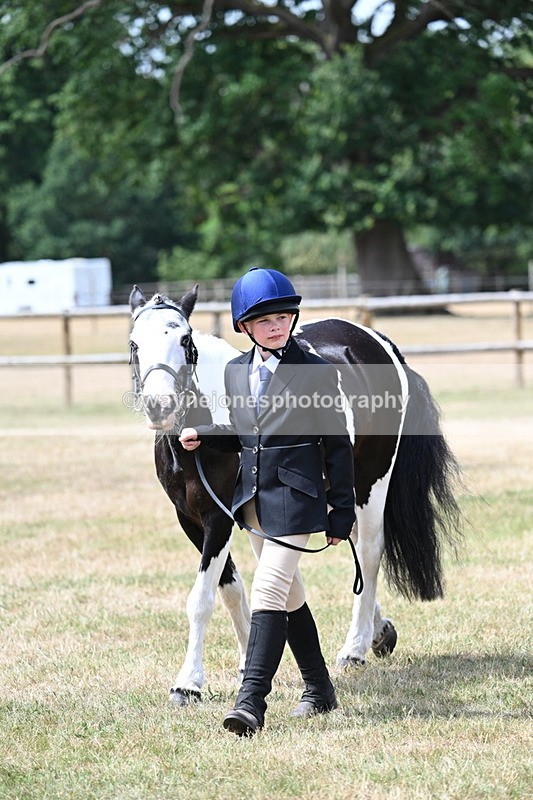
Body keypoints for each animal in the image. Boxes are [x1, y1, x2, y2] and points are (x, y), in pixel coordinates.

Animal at [128, 284, 461, 706]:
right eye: (134, 343)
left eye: (185, 340)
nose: (160, 406)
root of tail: (378, 342)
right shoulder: (191, 521)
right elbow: (232, 589)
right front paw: (245, 660)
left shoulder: (218, 520)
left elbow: (201, 600)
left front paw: (188, 683)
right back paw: (379, 631)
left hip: (371, 483)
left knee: (369, 553)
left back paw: (354, 648)